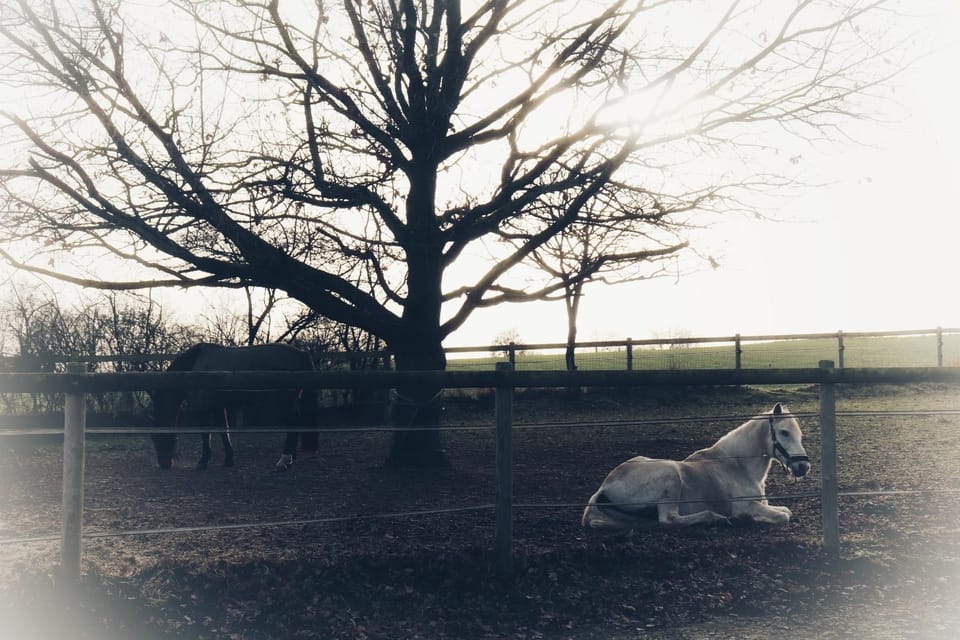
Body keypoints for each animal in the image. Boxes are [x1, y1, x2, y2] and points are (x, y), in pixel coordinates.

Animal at [150, 342, 319, 471]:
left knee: (292, 423)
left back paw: (283, 460)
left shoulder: (202, 408)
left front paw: (203, 461)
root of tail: (300, 354)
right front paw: (228, 459)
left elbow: (206, 434)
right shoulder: (217, 407)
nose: (164, 464)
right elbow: (224, 431)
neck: (192, 370)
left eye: (156, 436)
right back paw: (291, 459)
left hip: (283, 401)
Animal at [581, 403, 810, 529]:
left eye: (799, 433)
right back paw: (716, 518)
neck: (737, 467)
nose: (803, 466)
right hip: (670, 475)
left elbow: (785, 510)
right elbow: (783, 516)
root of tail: (603, 487)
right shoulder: (745, 506)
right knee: (669, 519)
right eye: (784, 432)